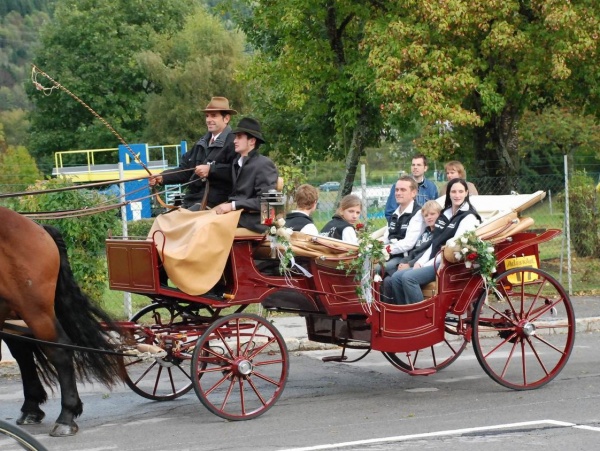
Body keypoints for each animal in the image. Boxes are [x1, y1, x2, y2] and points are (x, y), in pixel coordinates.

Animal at [0, 208, 123, 438]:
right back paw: (32, 408)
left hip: (34, 308)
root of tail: (36, 226)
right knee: (23, 351)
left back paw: (66, 416)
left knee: (59, 350)